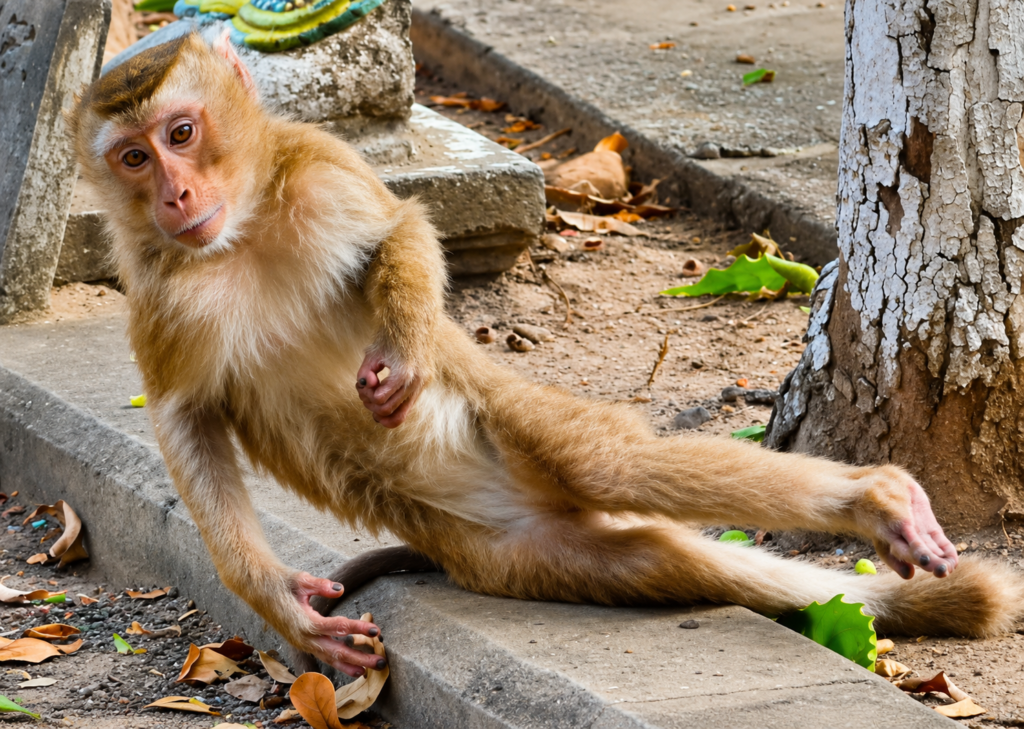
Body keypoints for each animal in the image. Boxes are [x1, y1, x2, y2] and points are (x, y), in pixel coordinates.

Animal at [69, 31, 1024, 679]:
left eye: (182, 133)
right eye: (133, 156)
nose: (174, 194)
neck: (237, 236)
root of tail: (521, 510)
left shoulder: (321, 168)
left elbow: (399, 229)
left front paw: (403, 349)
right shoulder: (157, 291)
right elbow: (185, 414)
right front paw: (275, 599)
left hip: (511, 414)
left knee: (609, 465)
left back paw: (875, 497)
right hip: (516, 557)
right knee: (658, 557)